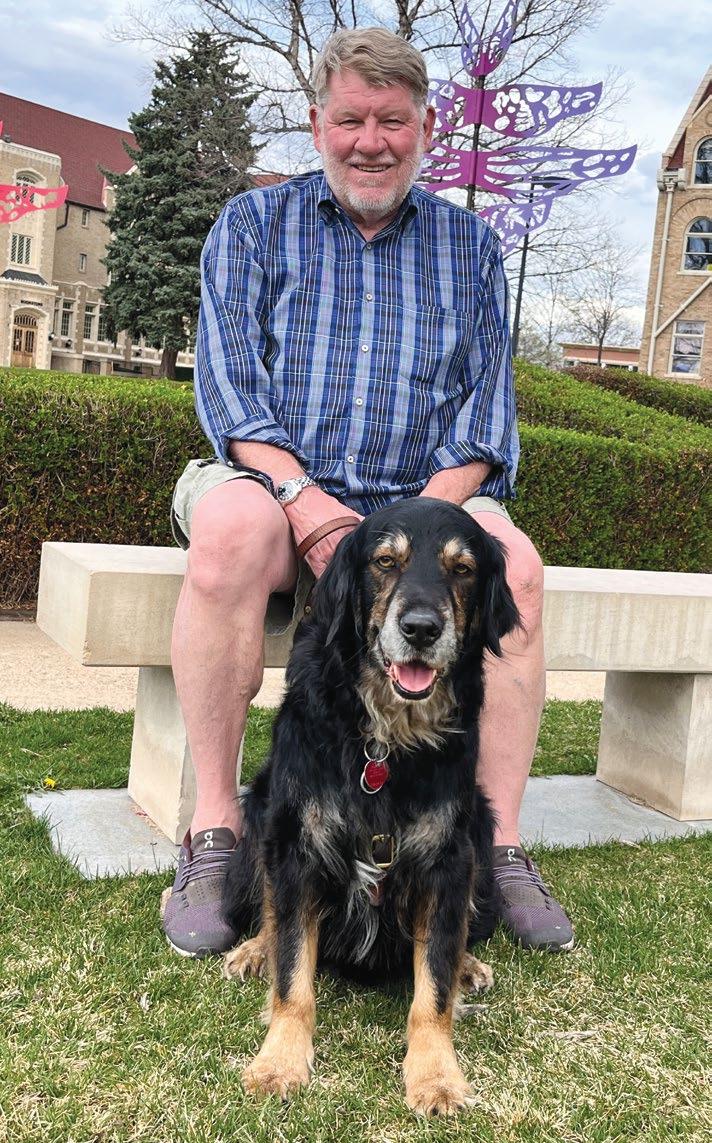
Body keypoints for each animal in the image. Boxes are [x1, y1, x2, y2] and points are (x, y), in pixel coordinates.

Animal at [222, 497, 519, 1115]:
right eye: (385, 561)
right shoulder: (300, 843)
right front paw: (279, 1061)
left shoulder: (448, 857)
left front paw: (436, 1074)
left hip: (480, 824)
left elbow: (433, 986)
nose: (422, 629)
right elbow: (293, 971)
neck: (385, 741)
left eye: (463, 569)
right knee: (269, 910)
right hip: (262, 810)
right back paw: (255, 948)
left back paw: (468, 964)